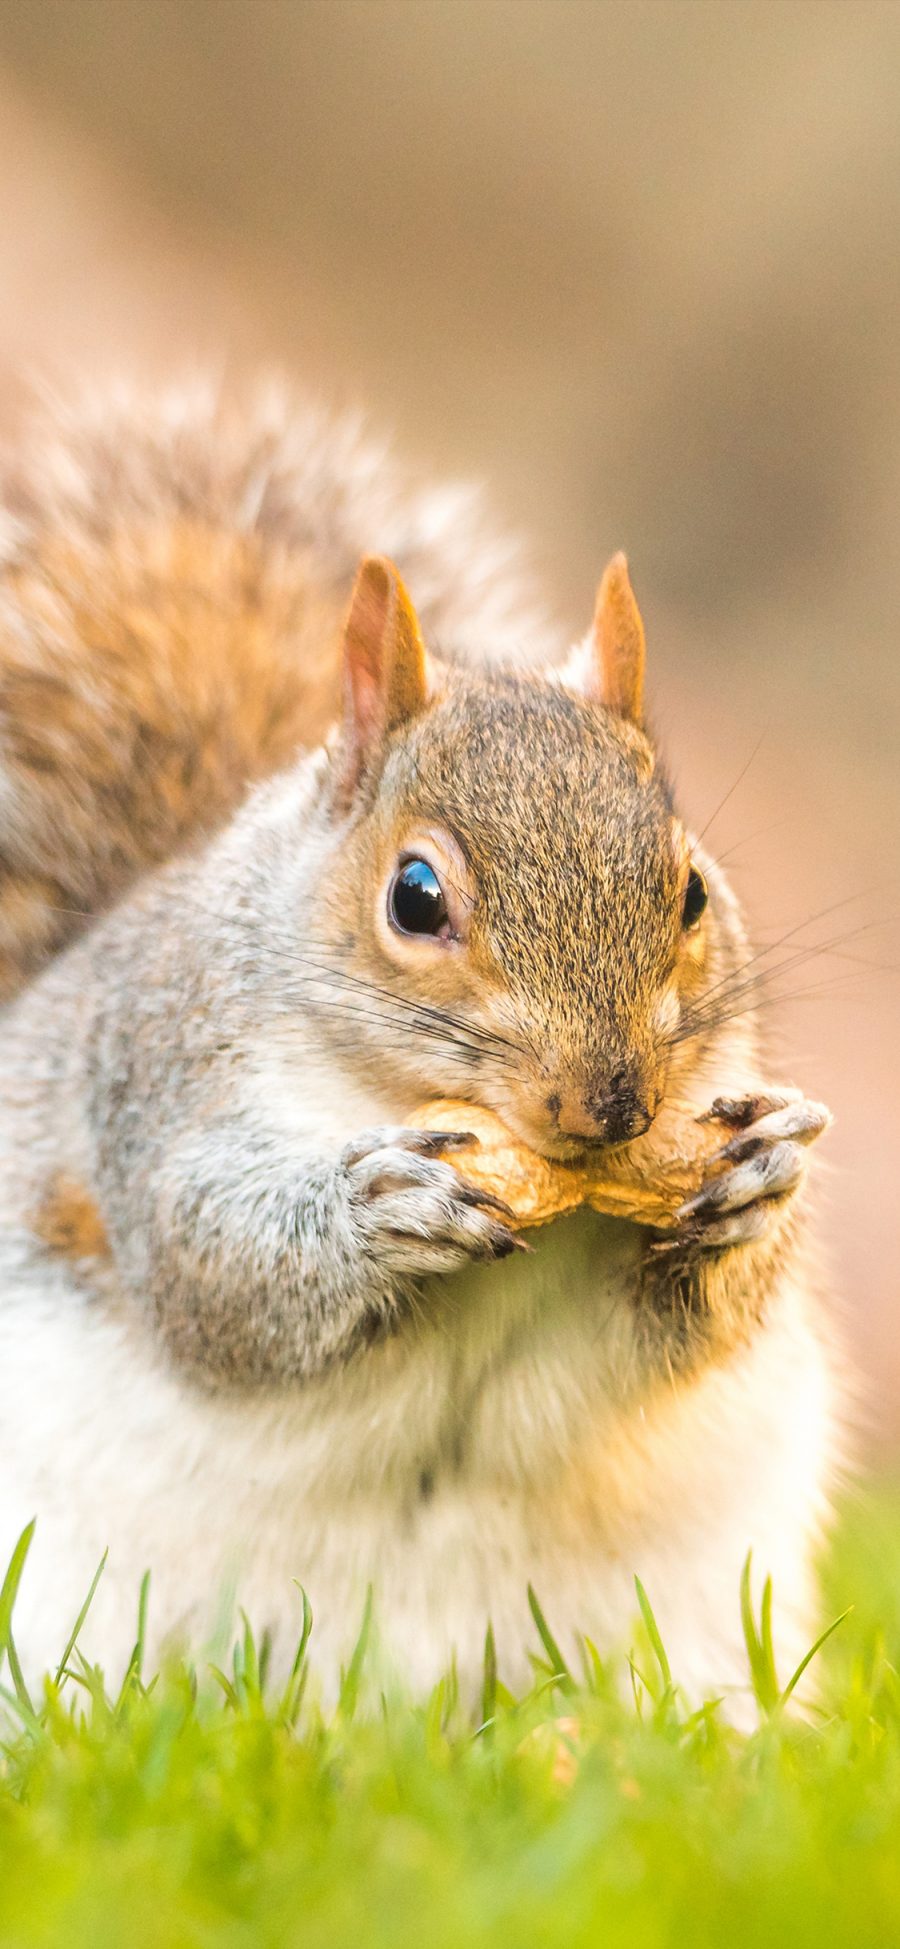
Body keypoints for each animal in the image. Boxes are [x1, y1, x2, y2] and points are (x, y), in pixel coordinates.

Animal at [0, 376, 841, 1707]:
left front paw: (763, 1180)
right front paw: (373, 1210)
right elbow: (209, 1271)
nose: (611, 1106)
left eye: (692, 890)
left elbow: (679, 1331)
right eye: (415, 896)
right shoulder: (154, 1079)